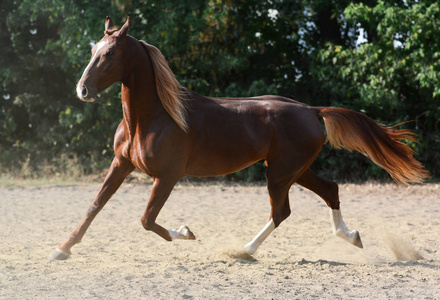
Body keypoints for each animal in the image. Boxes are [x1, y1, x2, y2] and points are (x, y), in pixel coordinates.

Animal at [49, 17, 428, 260]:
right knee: (330, 190)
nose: (83, 90)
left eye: (110, 53)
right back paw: (351, 237)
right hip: (295, 170)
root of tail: (312, 109)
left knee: (282, 211)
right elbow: (95, 206)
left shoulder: (167, 176)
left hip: (280, 174)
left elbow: (147, 220)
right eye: (93, 50)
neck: (152, 118)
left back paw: (244, 251)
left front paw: (186, 232)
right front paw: (62, 250)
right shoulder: (121, 164)